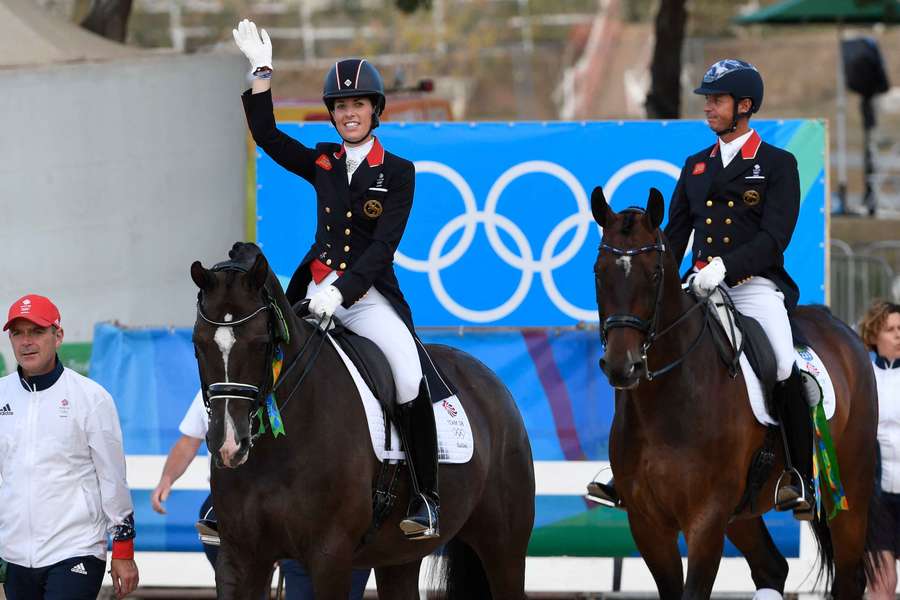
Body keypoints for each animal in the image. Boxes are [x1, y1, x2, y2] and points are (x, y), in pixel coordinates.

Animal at [186, 241, 532, 596]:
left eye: (261, 343)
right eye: (198, 343)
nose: (229, 444)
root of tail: (488, 378)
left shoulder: (330, 556)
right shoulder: (240, 557)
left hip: (503, 547)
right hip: (399, 556)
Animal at [592, 188, 880, 600]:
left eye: (654, 274)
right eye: (599, 273)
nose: (622, 366)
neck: (665, 400)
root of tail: (842, 329)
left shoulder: (706, 519)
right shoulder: (648, 524)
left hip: (848, 493)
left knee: (848, 578)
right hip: (742, 512)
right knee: (771, 568)